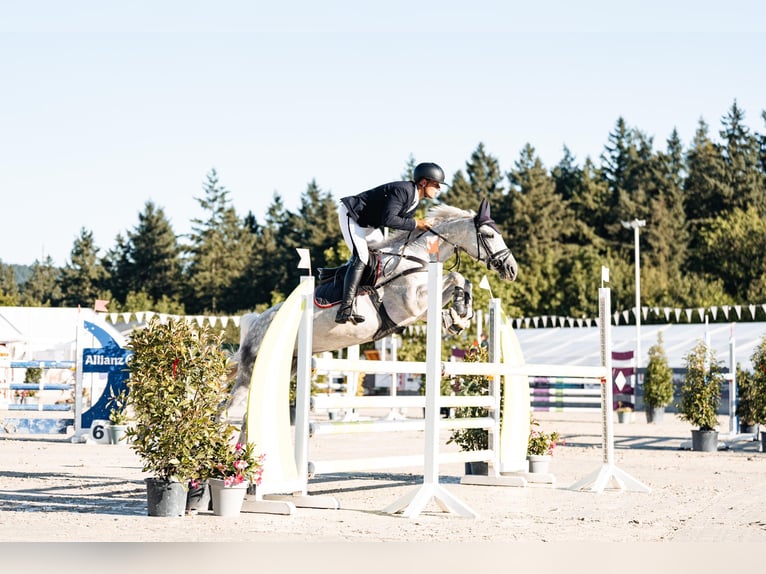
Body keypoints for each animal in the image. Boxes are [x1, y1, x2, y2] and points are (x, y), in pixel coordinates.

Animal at [231, 200, 520, 416]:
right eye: (489, 235)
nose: (512, 269)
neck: (416, 256)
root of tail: (255, 323)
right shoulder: (412, 302)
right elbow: (455, 277)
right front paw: (455, 318)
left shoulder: (422, 309)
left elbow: (461, 280)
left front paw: (460, 314)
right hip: (252, 369)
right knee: (231, 411)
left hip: (287, 365)